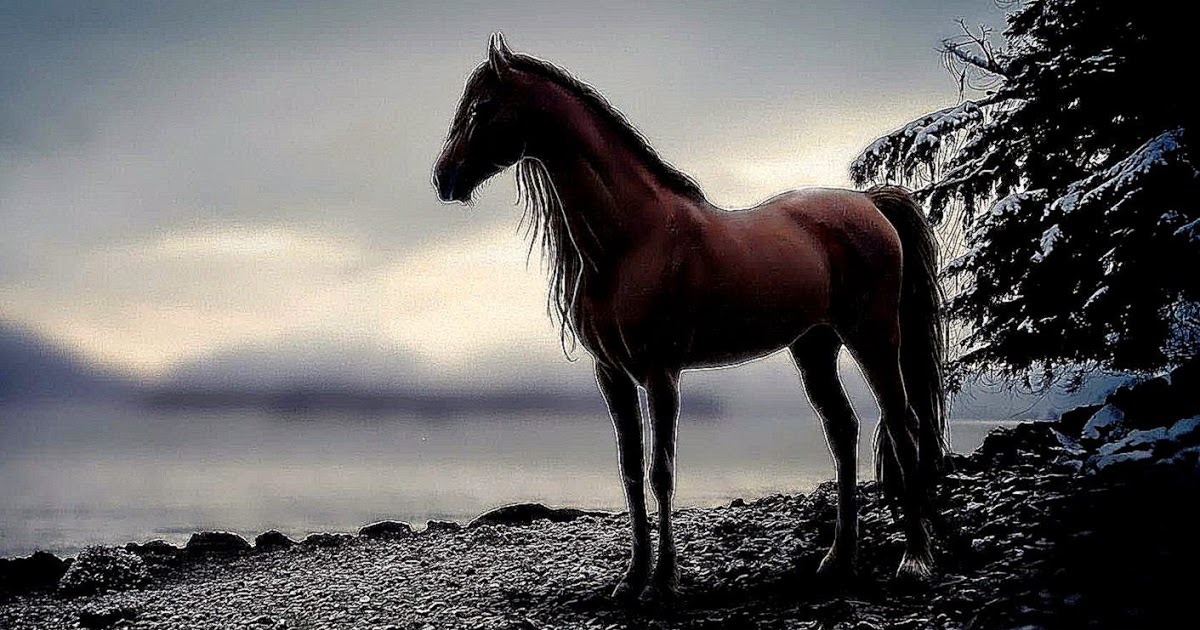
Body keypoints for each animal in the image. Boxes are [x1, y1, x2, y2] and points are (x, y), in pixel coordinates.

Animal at [432, 33, 945, 600]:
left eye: (481, 107)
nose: (444, 177)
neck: (633, 240)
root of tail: (870, 204)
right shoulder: (612, 375)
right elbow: (631, 471)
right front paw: (632, 578)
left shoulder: (661, 374)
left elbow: (662, 471)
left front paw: (662, 582)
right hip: (814, 346)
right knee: (843, 431)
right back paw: (839, 559)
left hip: (874, 337)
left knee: (902, 427)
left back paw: (915, 560)